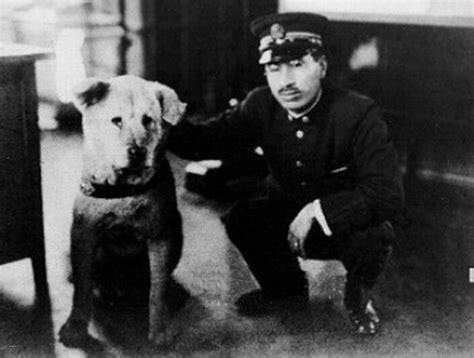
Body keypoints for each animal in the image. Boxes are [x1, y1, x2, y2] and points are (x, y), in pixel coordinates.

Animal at [58, 75, 186, 346]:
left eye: (148, 120)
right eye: (116, 120)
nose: (137, 152)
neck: (123, 188)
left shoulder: (161, 235)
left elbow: (157, 289)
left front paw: (160, 329)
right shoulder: (83, 234)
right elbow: (82, 287)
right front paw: (75, 327)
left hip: (177, 228)